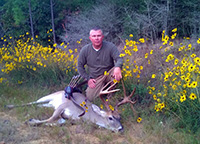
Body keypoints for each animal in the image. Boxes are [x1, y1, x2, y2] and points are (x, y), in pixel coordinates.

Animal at [6, 77, 138, 132]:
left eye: (120, 117)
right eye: (110, 118)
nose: (121, 129)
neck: (85, 115)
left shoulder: (70, 119)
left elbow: (58, 123)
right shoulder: (63, 106)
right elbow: (50, 119)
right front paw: (30, 121)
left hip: (49, 104)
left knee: (38, 105)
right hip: (48, 97)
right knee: (31, 102)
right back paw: (9, 106)